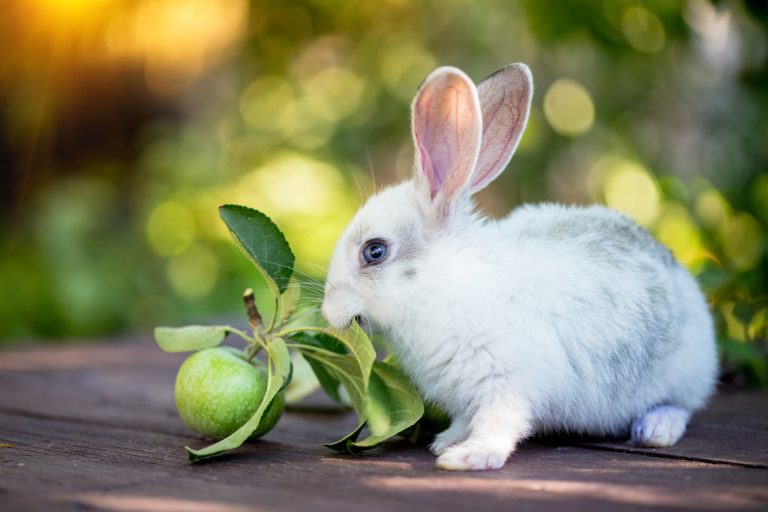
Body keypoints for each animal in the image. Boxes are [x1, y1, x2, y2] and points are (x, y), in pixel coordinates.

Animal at [321, 63, 718, 471]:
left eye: (375, 251)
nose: (327, 311)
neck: (441, 283)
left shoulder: (506, 383)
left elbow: (498, 423)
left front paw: (466, 457)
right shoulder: (467, 394)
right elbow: (465, 419)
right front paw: (446, 441)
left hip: (685, 373)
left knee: (681, 406)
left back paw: (656, 428)